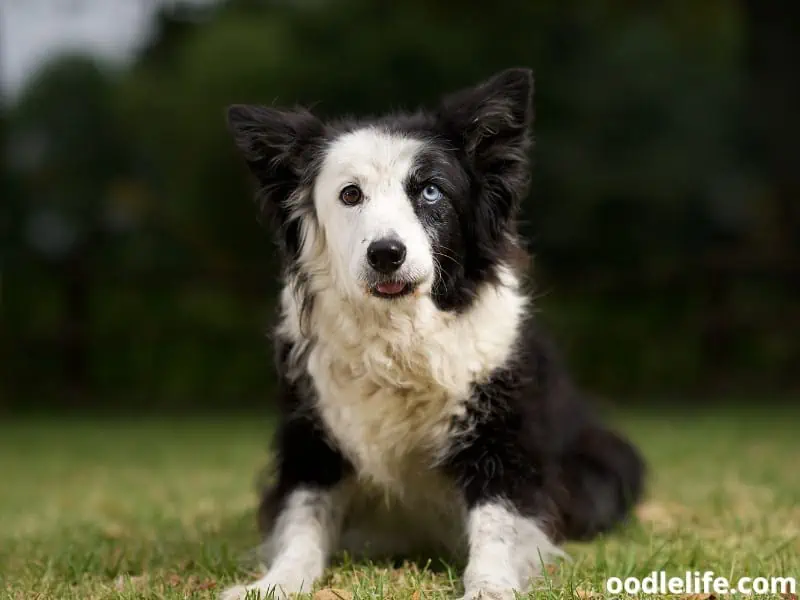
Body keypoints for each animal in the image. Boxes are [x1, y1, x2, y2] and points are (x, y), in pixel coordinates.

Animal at [222, 68, 648, 596]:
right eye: (350, 194)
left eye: (429, 191)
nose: (386, 254)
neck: (400, 339)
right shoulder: (311, 441)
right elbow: (303, 520)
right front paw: (275, 582)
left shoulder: (503, 441)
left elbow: (496, 523)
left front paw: (490, 584)